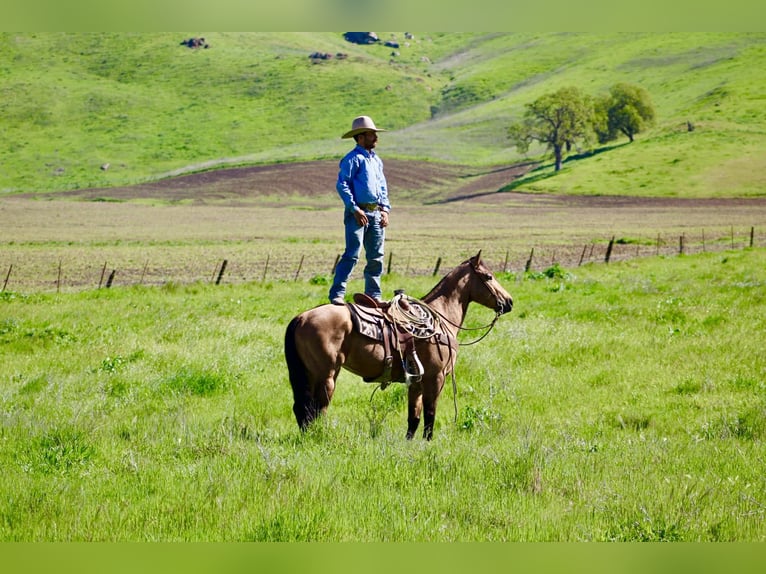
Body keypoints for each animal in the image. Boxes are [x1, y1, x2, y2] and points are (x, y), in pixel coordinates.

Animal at [284, 251, 513, 440]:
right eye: (488, 276)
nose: (509, 302)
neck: (440, 318)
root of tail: (302, 317)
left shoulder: (417, 382)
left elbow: (414, 417)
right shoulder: (435, 378)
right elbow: (430, 414)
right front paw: (428, 443)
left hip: (309, 374)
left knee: (302, 408)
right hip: (326, 376)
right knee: (316, 409)